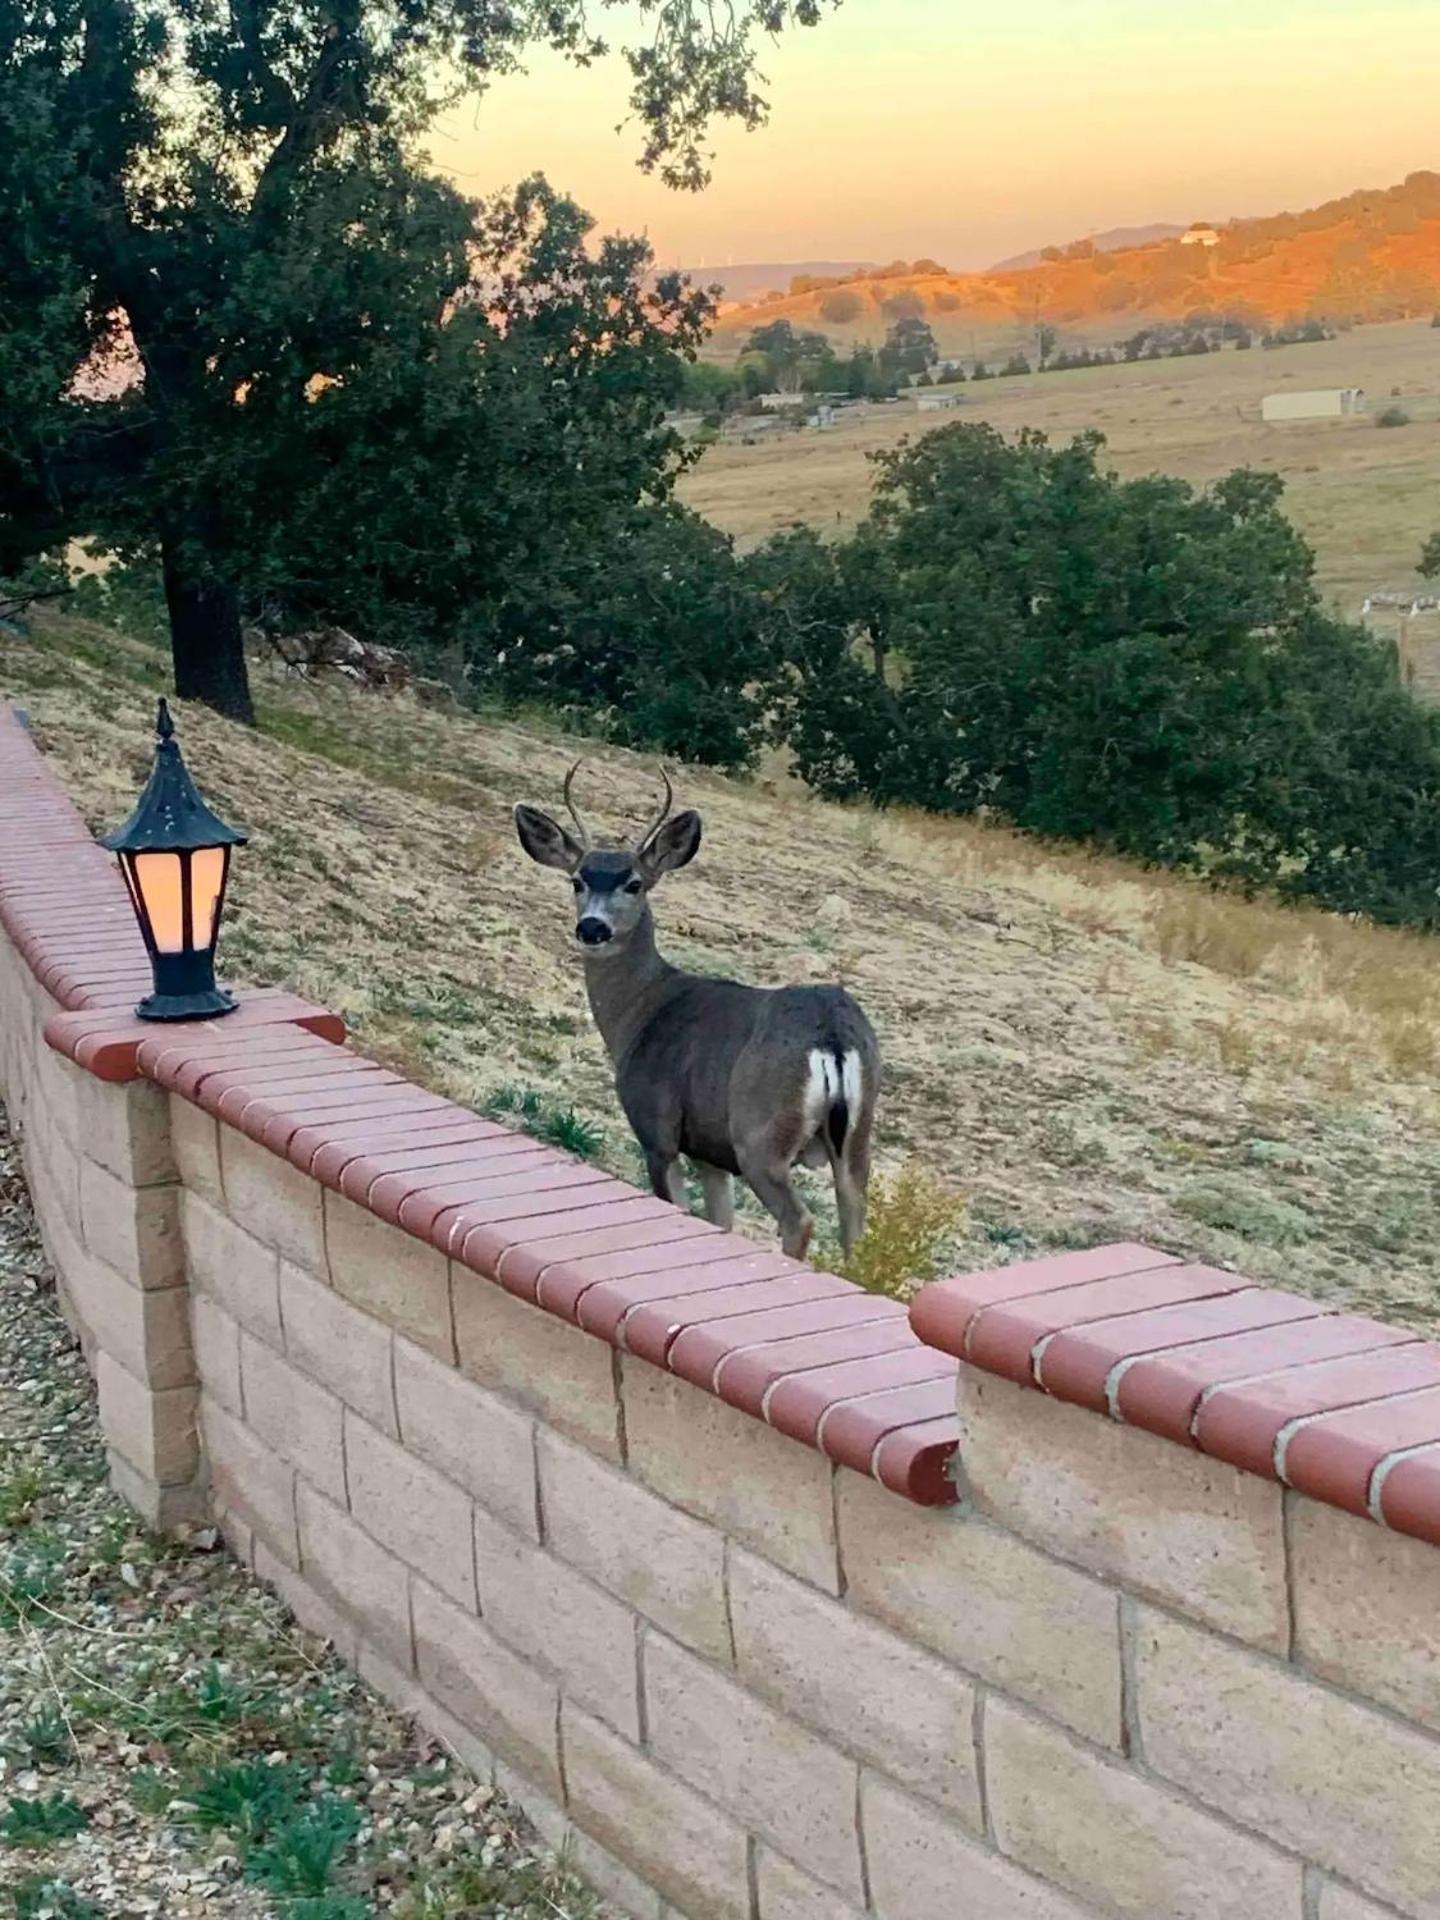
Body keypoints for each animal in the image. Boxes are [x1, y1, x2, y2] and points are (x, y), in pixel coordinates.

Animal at [518, 764, 879, 1259]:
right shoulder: (711, 1153)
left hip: (759, 1134)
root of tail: (832, 1035)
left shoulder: (658, 1130)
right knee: (857, 1228)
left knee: (799, 1219)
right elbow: (720, 1222)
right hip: (856, 1140)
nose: (592, 927)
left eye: (634, 883)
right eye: (577, 880)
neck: (643, 1011)